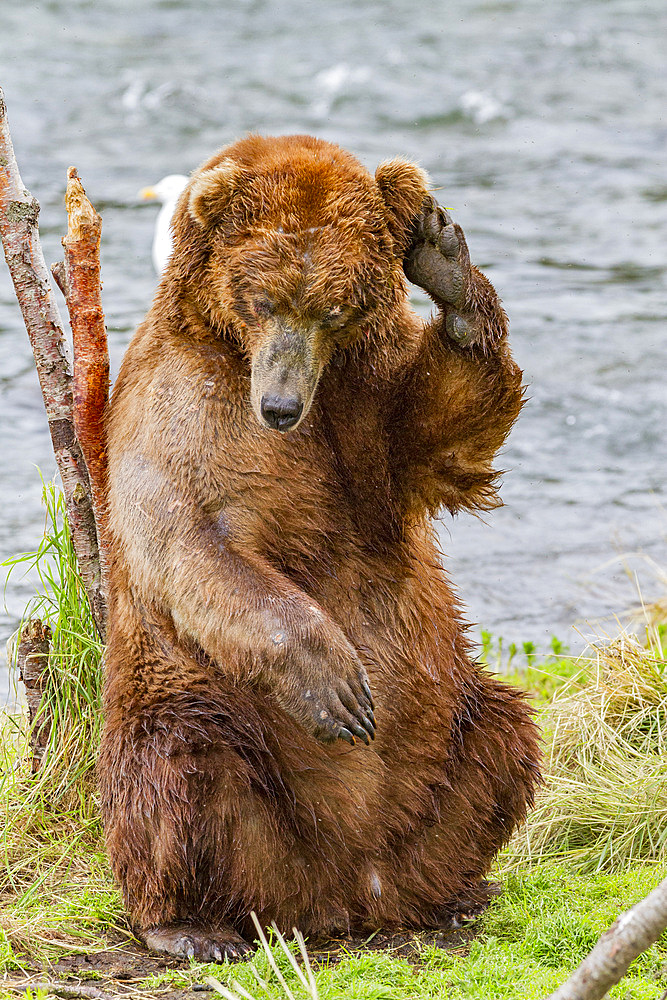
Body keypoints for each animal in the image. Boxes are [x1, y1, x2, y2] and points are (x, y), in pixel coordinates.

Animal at [100, 133, 544, 960]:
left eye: (332, 308)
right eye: (263, 299)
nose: (279, 406)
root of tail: (344, 894)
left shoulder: (364, 406)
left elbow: (446, 424)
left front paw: (444, 259)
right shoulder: (180, 406)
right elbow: (190, 543)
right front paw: (336, 684)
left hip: (447, 724)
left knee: (503, 736)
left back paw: (456, 892)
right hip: (207, 713)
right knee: (176, 770)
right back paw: (189, 924)